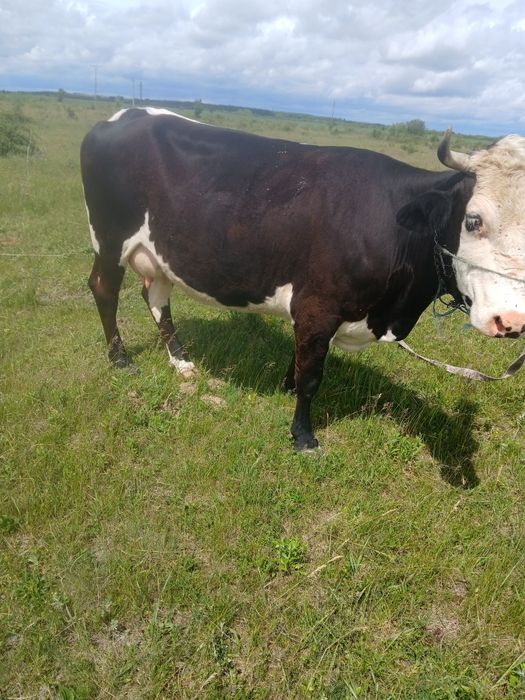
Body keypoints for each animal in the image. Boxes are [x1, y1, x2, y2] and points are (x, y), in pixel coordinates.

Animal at [81, 108, 525, 450]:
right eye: (473, 220)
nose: (512, 321)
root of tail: (123, 117)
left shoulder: (311, 311)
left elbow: (298, 362)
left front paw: (286, 387)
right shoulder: (318, 305)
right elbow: (311, 376)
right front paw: (303, 436)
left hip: (159, 253)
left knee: (156, 297)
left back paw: (180, 360)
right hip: (109, 238)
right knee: (104, 290)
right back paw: (121, 359)